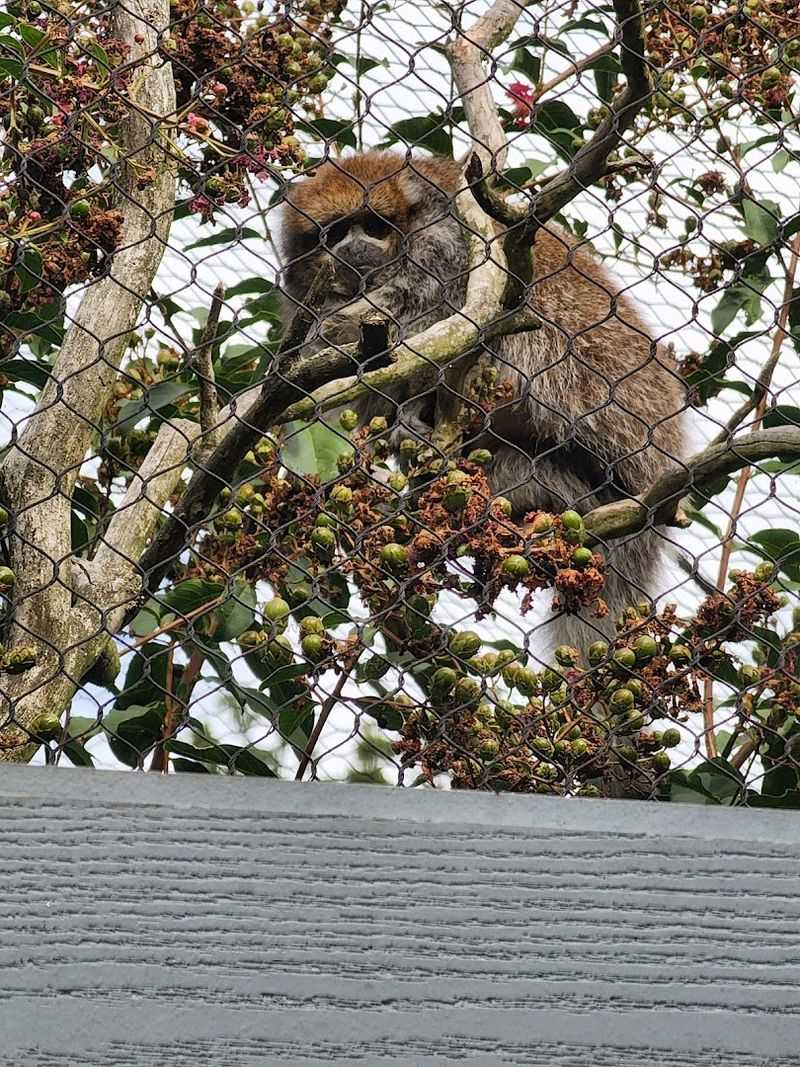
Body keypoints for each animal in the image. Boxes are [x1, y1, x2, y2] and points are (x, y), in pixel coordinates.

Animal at [277, 151, 689, 651]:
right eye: (335, 233)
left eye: (374, 226)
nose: (353, 250)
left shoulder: (445, 253)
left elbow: (430, 327)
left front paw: (410, 415)